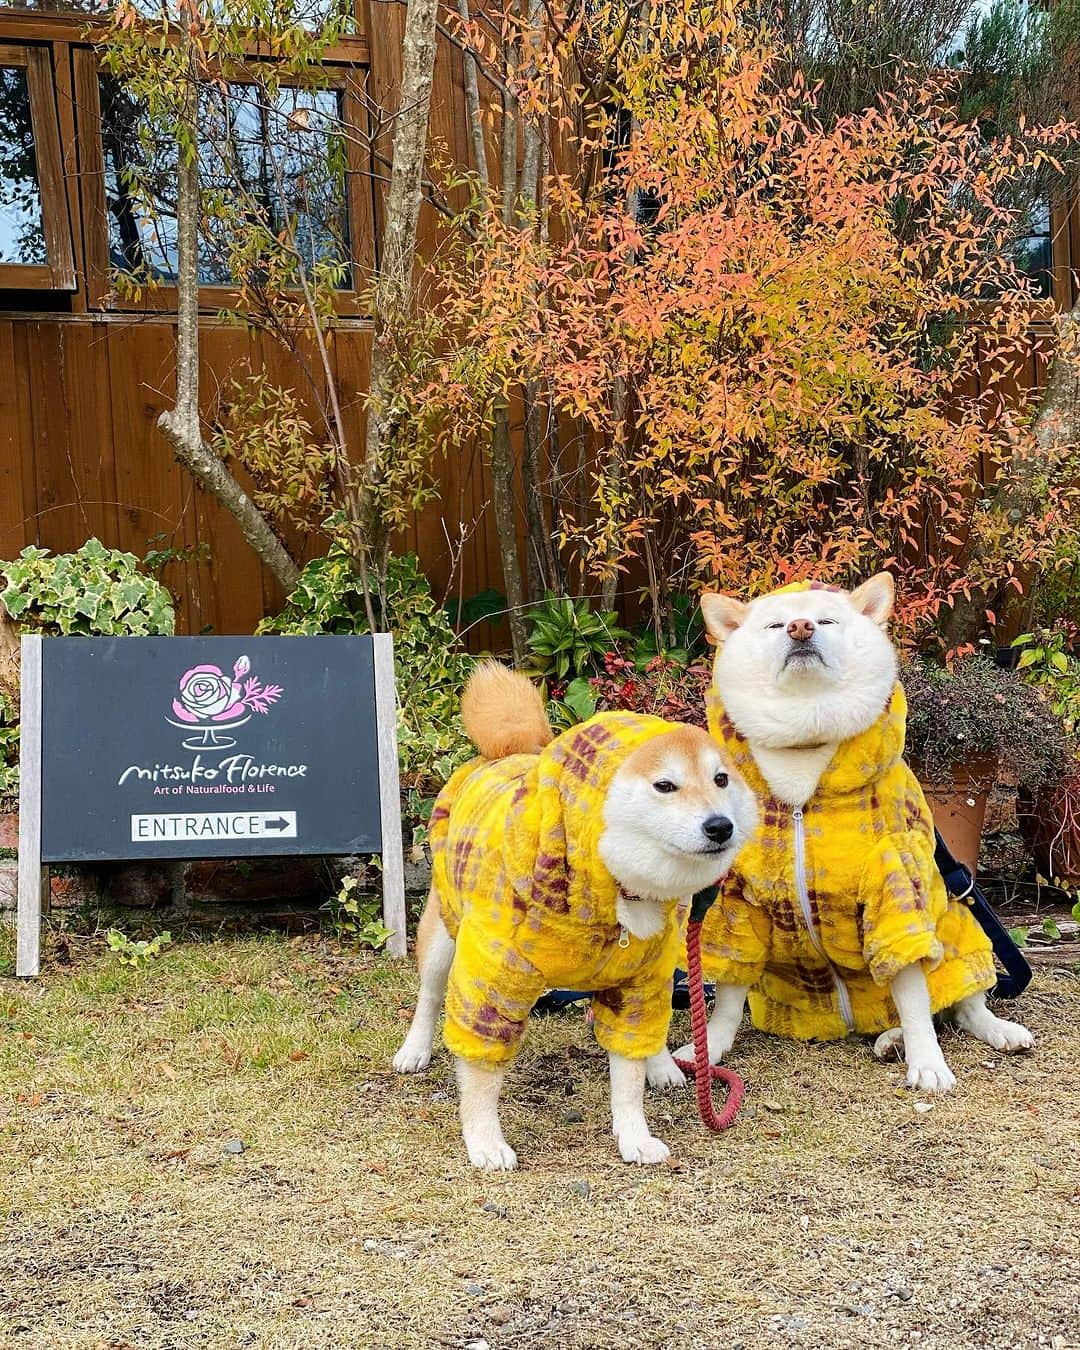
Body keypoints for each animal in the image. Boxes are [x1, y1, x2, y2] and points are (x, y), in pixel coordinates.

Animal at [391, 666, 756, 1171]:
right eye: (665, 786)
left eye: (721, 779)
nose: (721, 825)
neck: (618, 892)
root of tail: (506, 751)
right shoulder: (492, 981)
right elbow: (481, 1075)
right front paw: (485, 1141)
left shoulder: (637, 981)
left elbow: (628, 1078)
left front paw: (634, 1135)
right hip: (445, 932)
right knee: (429, 996)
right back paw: (415, 1049)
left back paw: (661, 1063)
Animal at [645, 575, 1031, 1090]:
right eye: (774, 625)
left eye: (827, 620)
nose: (800, 627)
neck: (805, 745)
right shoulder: (739, 902)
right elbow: (727, 997)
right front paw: (711, 1049)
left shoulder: (895, 885)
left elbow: (913, 996)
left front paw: (928, 1063)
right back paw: (890, 1040)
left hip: (956, 927)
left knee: (959, 1005)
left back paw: (985, 1031)